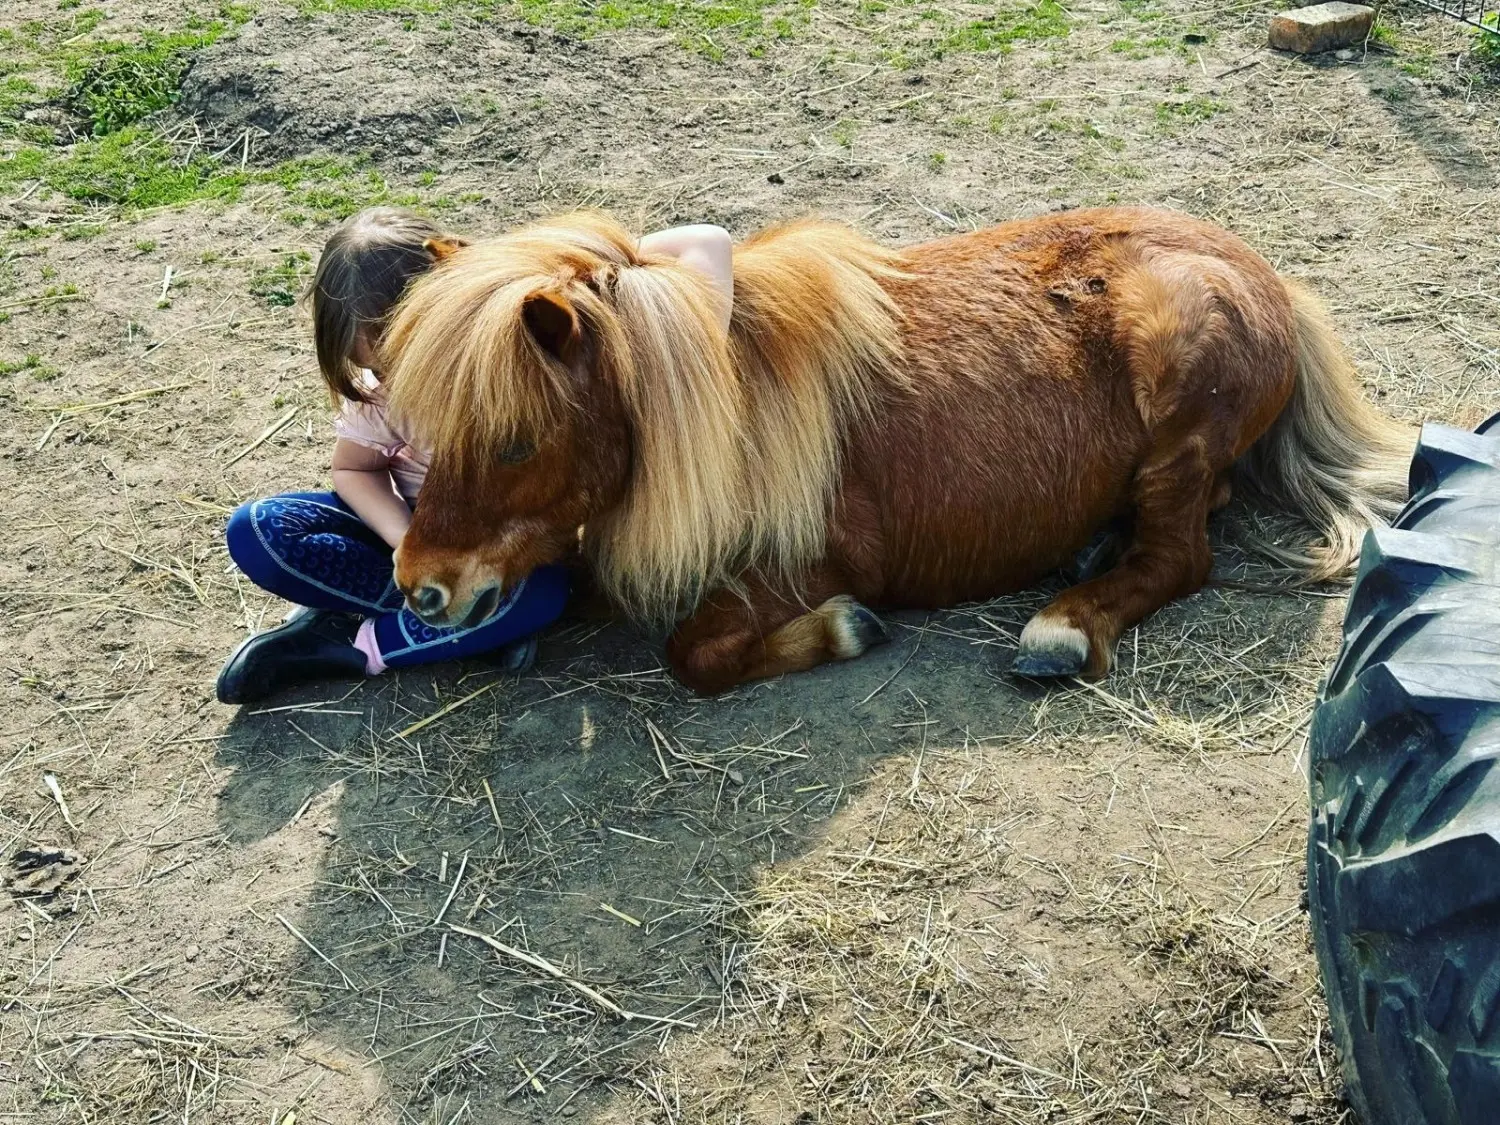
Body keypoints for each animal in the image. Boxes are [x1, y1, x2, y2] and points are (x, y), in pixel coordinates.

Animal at [381, 205, 1410, 696]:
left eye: (514, 441)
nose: (419, 587)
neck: (731, 403)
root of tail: (1264, 275)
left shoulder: (813, 563)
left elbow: (697, 652)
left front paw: (845, 630)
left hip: (1179, 411)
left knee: (1181, 555)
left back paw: (1061, 626)